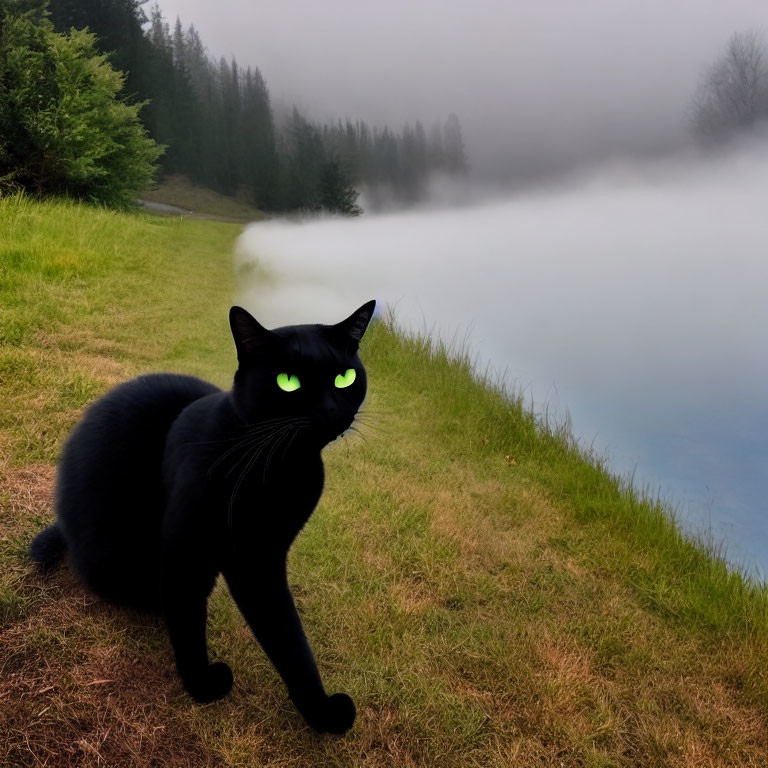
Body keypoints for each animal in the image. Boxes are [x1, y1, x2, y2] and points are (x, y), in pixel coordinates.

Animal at [28, 298, 376, 732]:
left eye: (344, 378)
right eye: (288, 381)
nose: (329, 412)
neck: (280, 467)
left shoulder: (260, 557)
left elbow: (288, 638)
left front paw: (319, 710)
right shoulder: (191, 547)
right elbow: (193, 617)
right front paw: (202, 685)